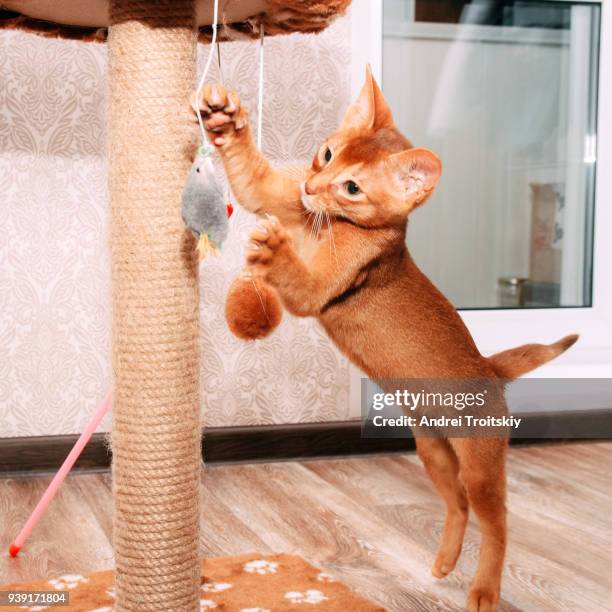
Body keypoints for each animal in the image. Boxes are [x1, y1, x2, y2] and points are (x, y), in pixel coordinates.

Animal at [196, 69, 580, 608]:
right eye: (327, 154)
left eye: (352, 188)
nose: (311, 186)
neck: (330, 225)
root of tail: (489, 368)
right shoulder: (274, 193)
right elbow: (252, 180)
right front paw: (225, 119)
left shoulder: (314, 291)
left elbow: (297, 279)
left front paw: (272, 250)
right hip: (433, 452)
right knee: (458, 505)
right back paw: (444, 562)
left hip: (481, 464)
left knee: (498, 523)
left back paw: (483, 590)